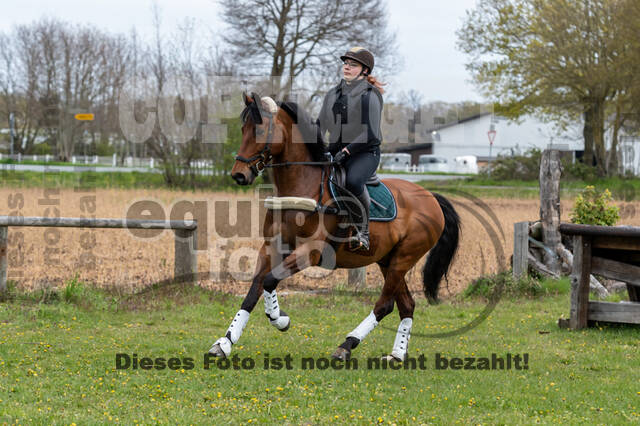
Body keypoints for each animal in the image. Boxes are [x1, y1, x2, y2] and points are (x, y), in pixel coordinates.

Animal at [210, 93, 460, 362]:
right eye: (243, 129)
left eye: (260, 129)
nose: (239, 175)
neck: (303, 186)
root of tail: (431, 197)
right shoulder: (271, 248)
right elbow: (254, 290)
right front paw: (225, 342)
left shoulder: (310, 252)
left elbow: (269, 280)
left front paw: (280, 319)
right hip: (388, 260)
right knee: (406, 305)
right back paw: (396, 356)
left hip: (403, 258)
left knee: (385, 305)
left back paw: (347, 345)